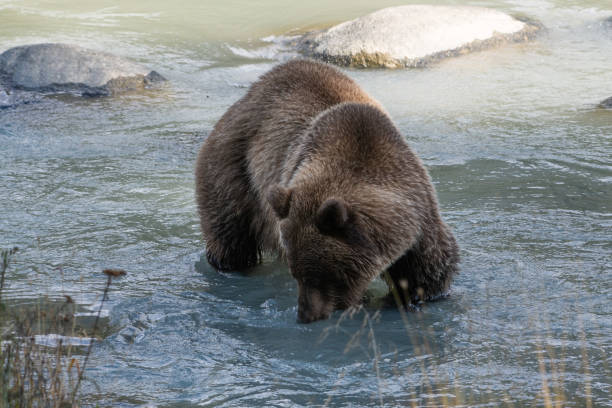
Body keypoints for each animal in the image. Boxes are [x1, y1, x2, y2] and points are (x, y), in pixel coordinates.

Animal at [196, 59, 460, 324]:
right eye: (297, 274)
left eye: (323, 275)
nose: (305, 314)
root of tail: (248, 95)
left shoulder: (418, 216)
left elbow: (428, 272)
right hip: (233, 165)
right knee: (230, 229)